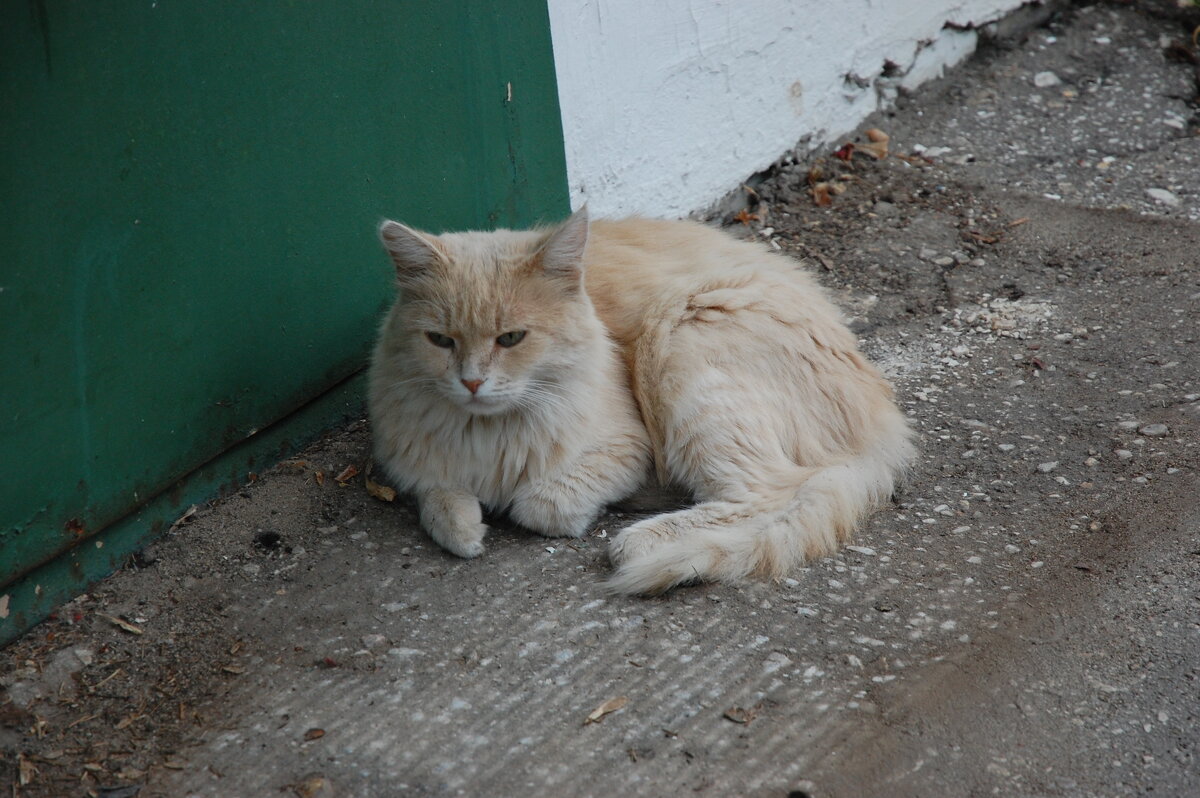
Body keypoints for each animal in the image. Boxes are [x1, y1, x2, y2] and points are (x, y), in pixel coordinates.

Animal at [369, 208, 912, 595]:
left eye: (511, 338)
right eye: (440, 341)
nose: (472, 383)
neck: (489, 435)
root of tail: (883, 415)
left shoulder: (626, 446)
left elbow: (541, 505)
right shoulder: (415, 466)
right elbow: (442, 505)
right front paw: (467, 527)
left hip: (682, 337)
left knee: (768, 492)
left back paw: (641, 540)